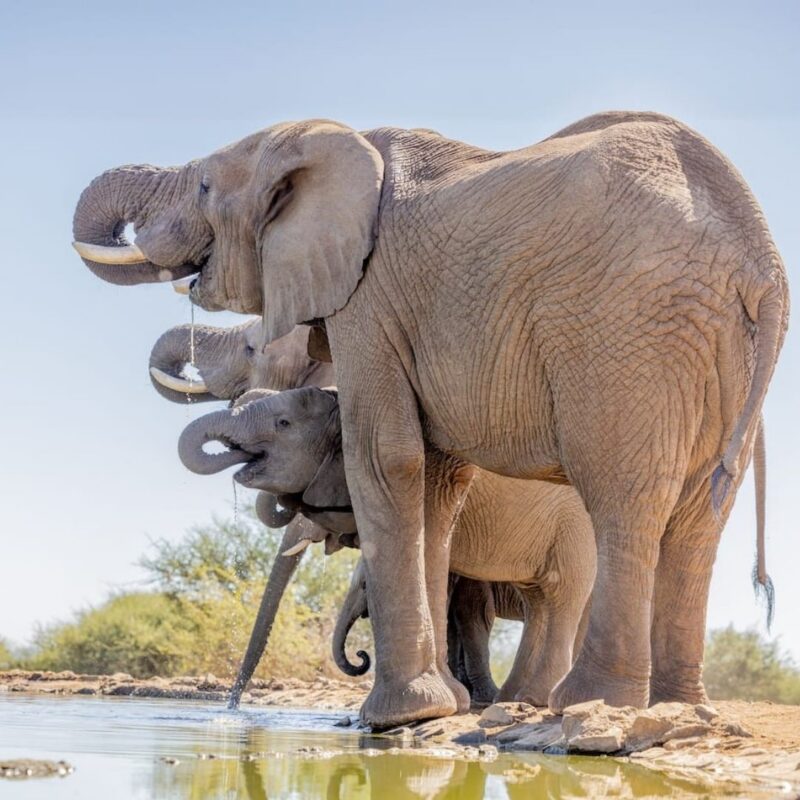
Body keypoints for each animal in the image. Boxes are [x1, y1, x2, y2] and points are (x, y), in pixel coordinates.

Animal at [178, 387, 597, 707]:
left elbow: (463, 602)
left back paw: (532, 699)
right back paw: (515, 697)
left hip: (575, 529)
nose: (232, 709)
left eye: (284, 425)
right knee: (540, 599)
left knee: (563, 593)